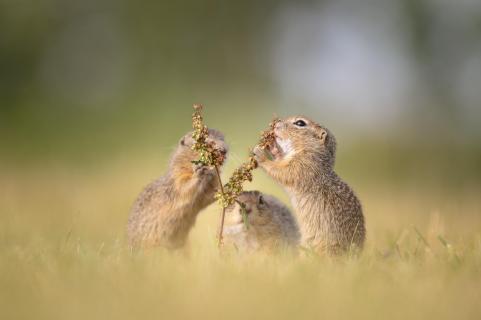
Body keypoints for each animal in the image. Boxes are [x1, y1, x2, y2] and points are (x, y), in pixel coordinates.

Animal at [251, 115, 364, 255]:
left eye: (300, 123)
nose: (276, 124)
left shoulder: (303, 165)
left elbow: (283, 172)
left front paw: (261, 154)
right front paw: (273, 147)